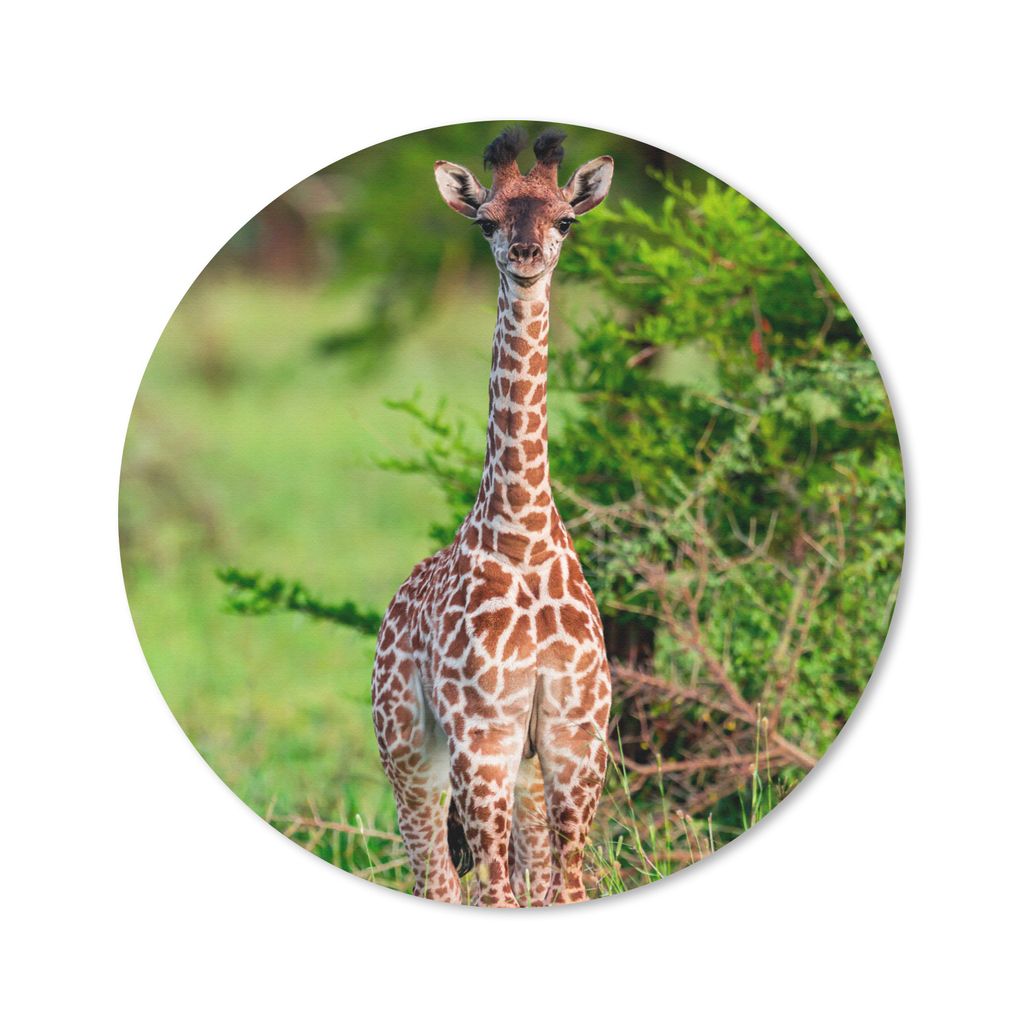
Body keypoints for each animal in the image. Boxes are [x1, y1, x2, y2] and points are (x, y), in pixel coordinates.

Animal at [371, 127, 614, 907]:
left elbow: (565, 891)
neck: (524, 533)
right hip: (409, 752)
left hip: (524, 774)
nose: (527, 257)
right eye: (486, 222)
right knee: (440, 879)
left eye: (566, 220)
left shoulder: (573, 742)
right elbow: (492, 892)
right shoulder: (482, 739)